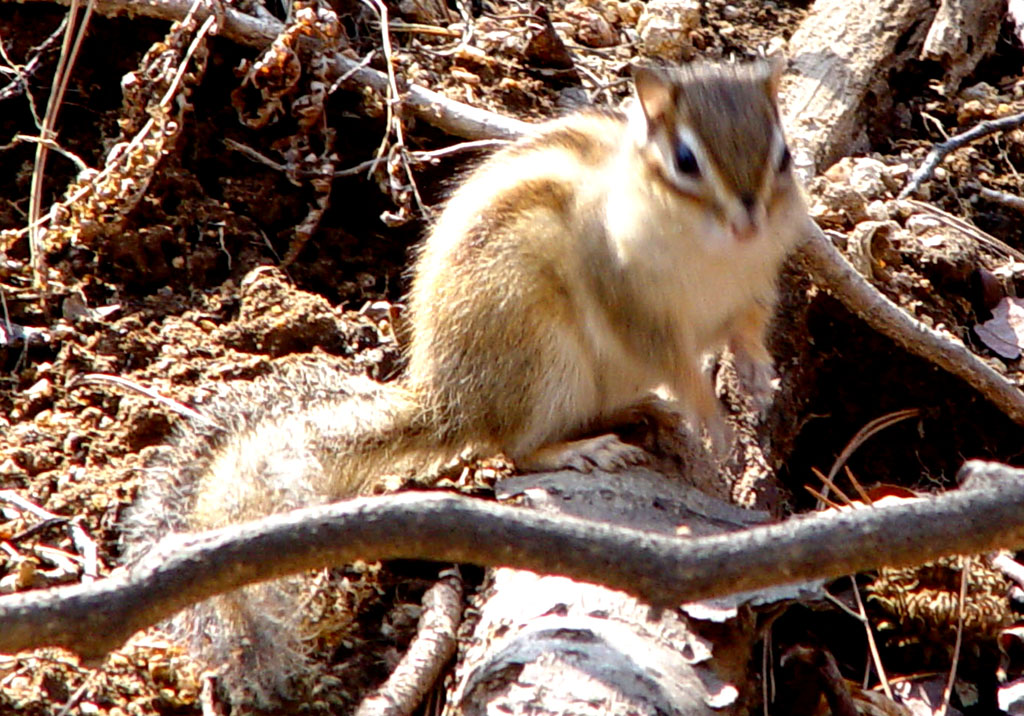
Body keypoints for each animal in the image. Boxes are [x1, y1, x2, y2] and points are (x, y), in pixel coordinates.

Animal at [123, 60, 808, 709]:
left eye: (783, 155)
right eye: (686, 161)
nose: (748, 219)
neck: (710, 253)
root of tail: (446, 401)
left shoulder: (752, 286)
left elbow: (746, 328)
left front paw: (754, 374)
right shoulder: (626, 297)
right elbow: (671, 360)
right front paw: (710, 417)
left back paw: (643, 409)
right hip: (542, 356)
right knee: (515, 448)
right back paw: (582, 448)